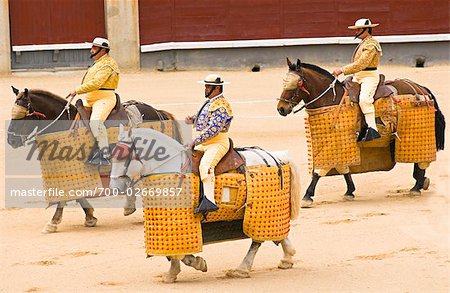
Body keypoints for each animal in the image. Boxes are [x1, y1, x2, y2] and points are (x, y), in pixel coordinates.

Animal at [7, 85, 183, 232]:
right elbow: (77, 196)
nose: (11, 140)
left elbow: (65, 198)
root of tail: (158, 112)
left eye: (22, 116)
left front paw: (53, 222)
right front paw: (90, 217)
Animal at [108, 125, 298, 280]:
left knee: (257, 241)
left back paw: (241, 270)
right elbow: (173, 251)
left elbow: (181, 253)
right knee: (277, 234)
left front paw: (196, 264)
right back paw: (287, 258)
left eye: (123, 155)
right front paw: (172, 274)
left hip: (258, 212)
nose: (115, 187)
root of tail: (276, 156)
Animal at [276, 58, 444, 205]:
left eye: (296, 83)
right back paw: (421, 183)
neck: (331, 99)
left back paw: (416, 187)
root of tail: (421, 88)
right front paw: (349, 191)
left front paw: (307, 196)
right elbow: (344, 168)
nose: (281, 109)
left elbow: (320, 170)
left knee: (420, 160)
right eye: (283, 83)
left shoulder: (334, 144)